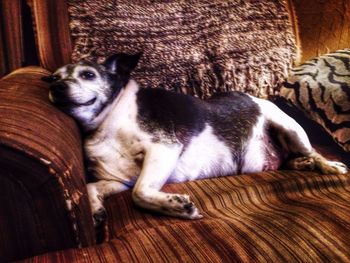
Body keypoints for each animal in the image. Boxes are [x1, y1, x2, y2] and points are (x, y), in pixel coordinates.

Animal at [42, 53, 348, 227]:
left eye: (88, 75)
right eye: (54, 78)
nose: (57, 88)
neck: (106, 124)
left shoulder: (163, 149)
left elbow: (140, 193)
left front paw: (177, 206)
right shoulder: (119, 180)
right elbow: (92, 187)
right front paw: (95, 210)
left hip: (290, 128)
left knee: (313, 152)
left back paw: (329, 166)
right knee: (291, 160)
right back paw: (302, 165)